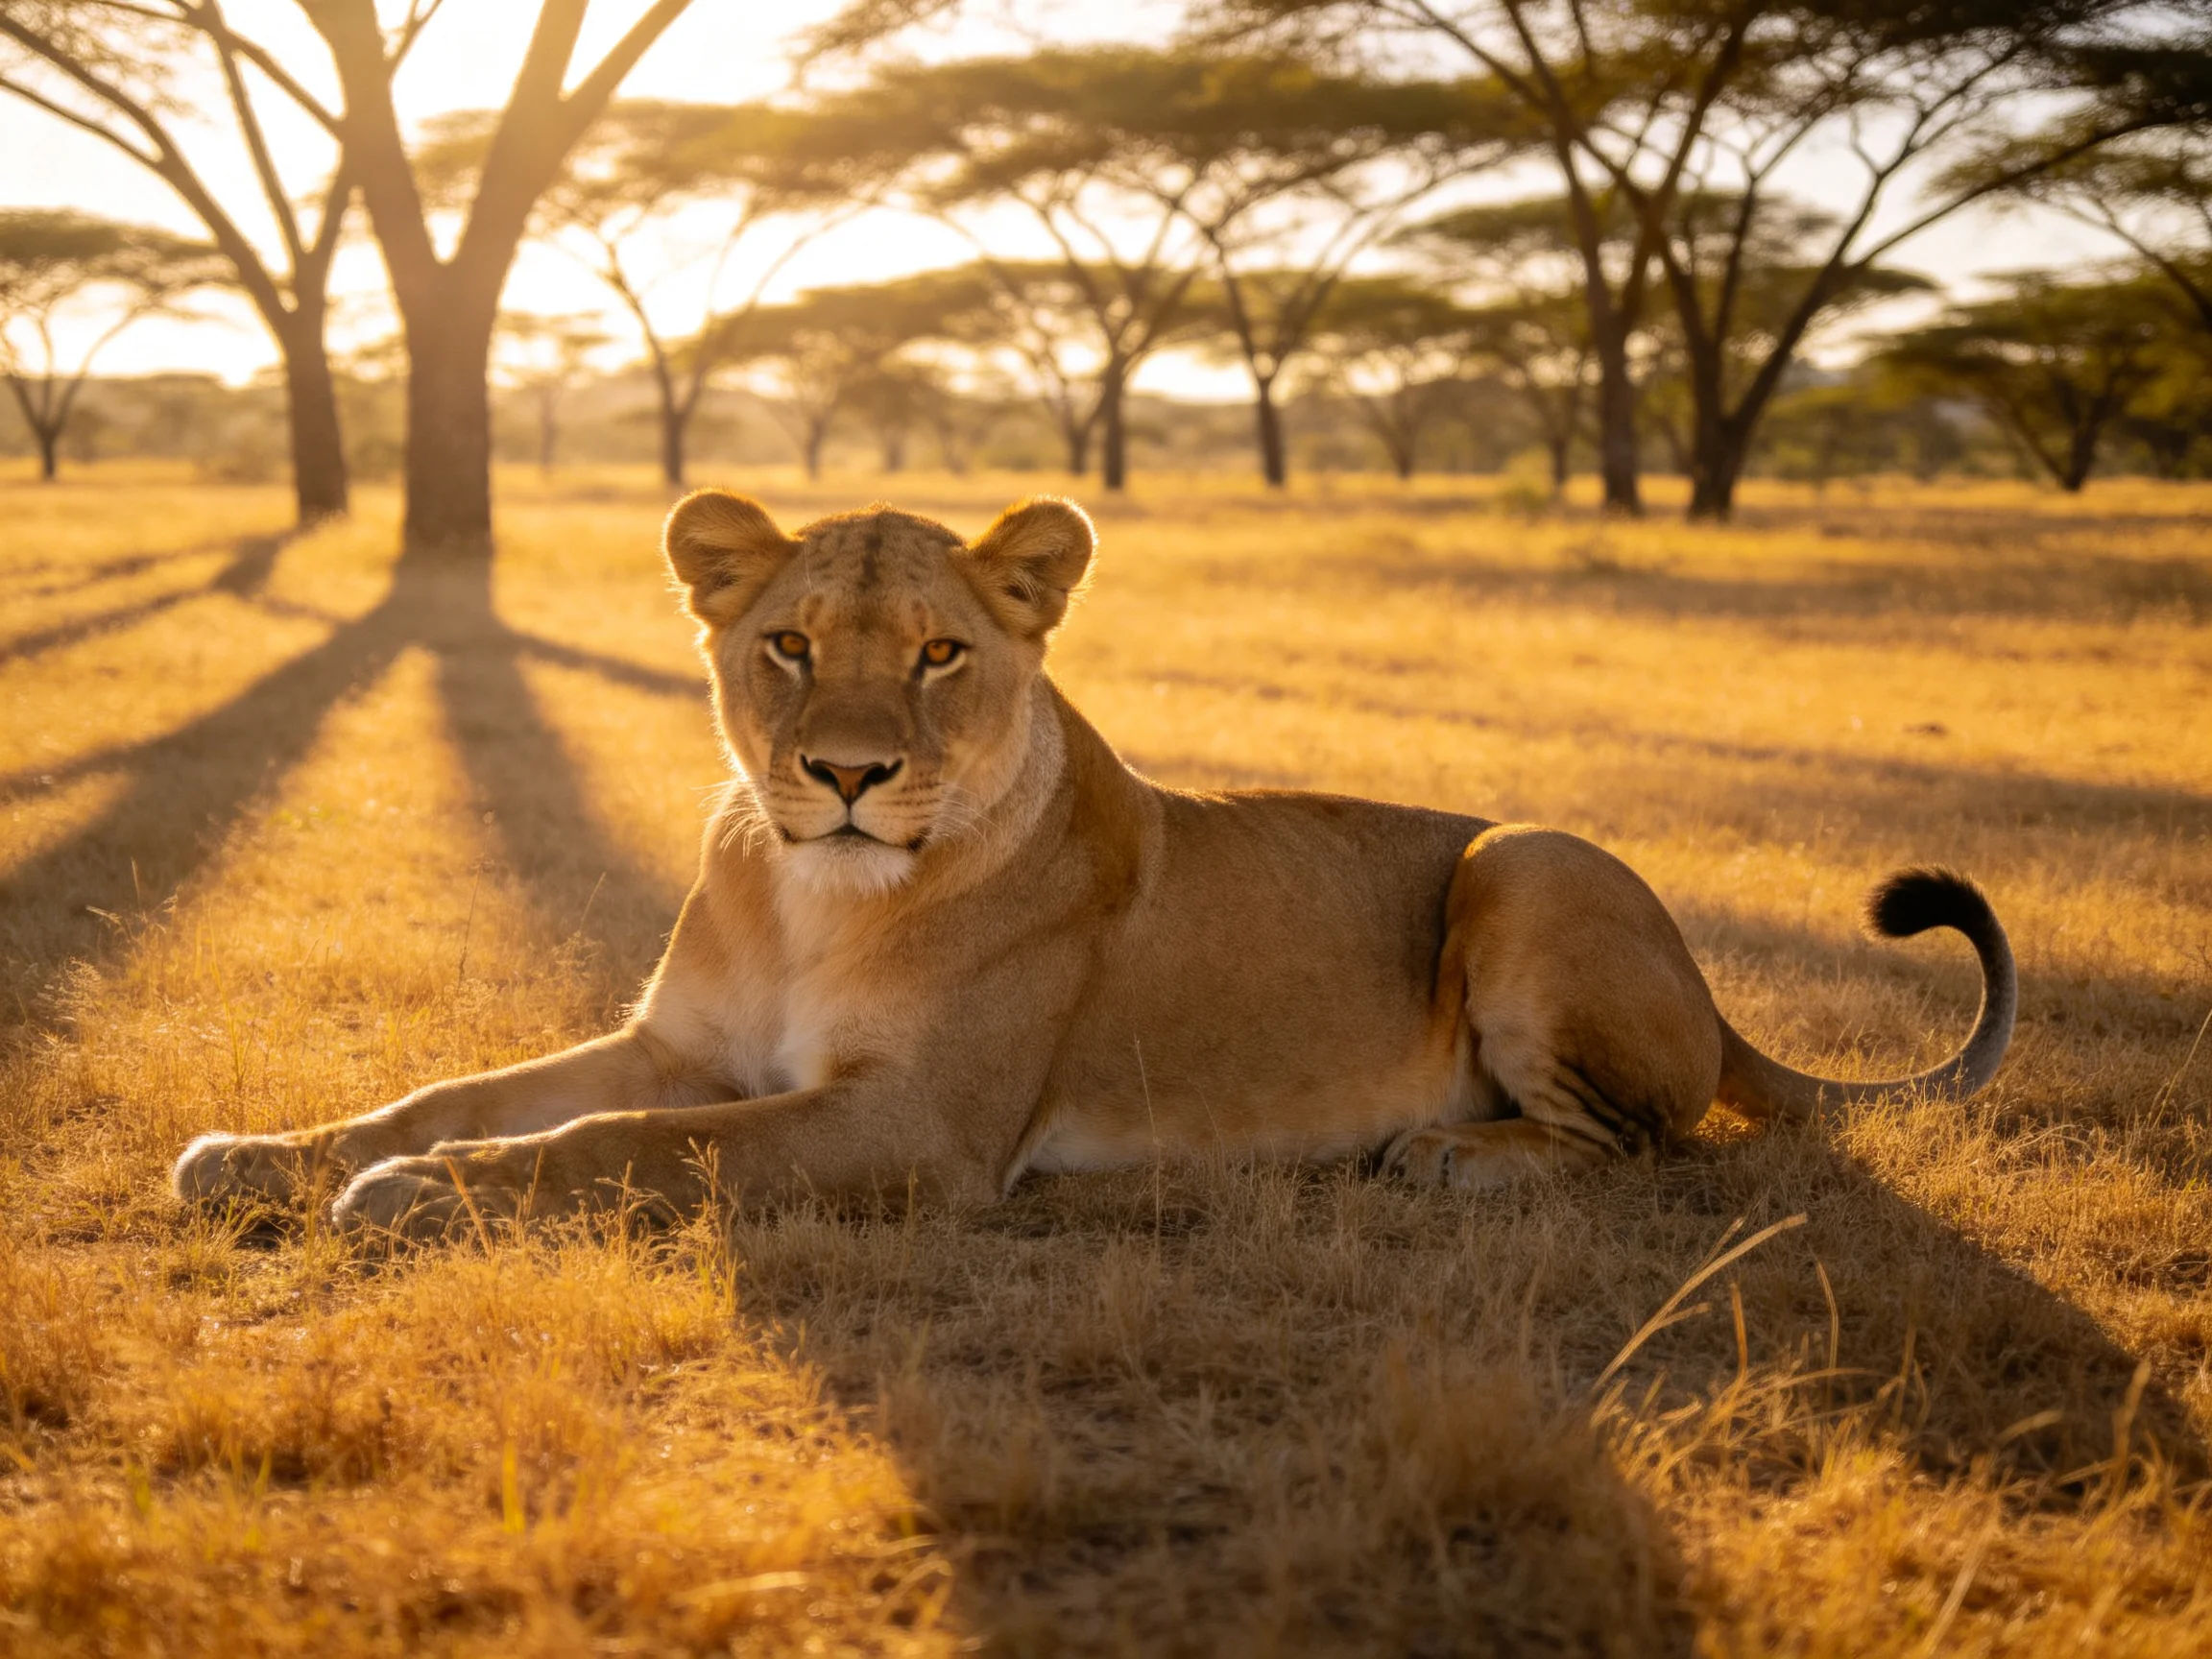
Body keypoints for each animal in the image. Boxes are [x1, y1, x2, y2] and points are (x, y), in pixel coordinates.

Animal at [174, 490, 2016, 1238]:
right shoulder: (679, 1041)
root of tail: (1716, 994)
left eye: (937, 654)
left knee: (1645, 1145)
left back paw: (1444, 1157)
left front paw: (418, 1197)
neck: (813, 894)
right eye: (785, 645)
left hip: (1525, 849)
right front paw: (266, 1155)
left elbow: (625, 1148)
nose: (846, 776)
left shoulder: (914, 1130)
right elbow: (458, 1091)